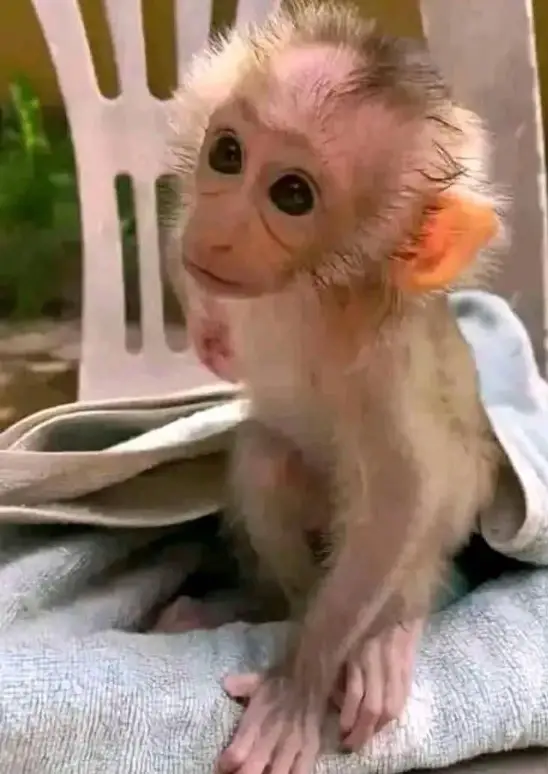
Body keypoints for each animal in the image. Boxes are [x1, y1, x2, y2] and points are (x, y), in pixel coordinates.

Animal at [164, 2, 506, 772]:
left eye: (292, 195)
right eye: (226, 153)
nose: (217, 232)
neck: (306, 294)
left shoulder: (387, 361)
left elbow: (404, 498)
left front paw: (298, 685)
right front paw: (210, 333)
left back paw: (387, 637)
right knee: (265, 456)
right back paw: (258, 605)